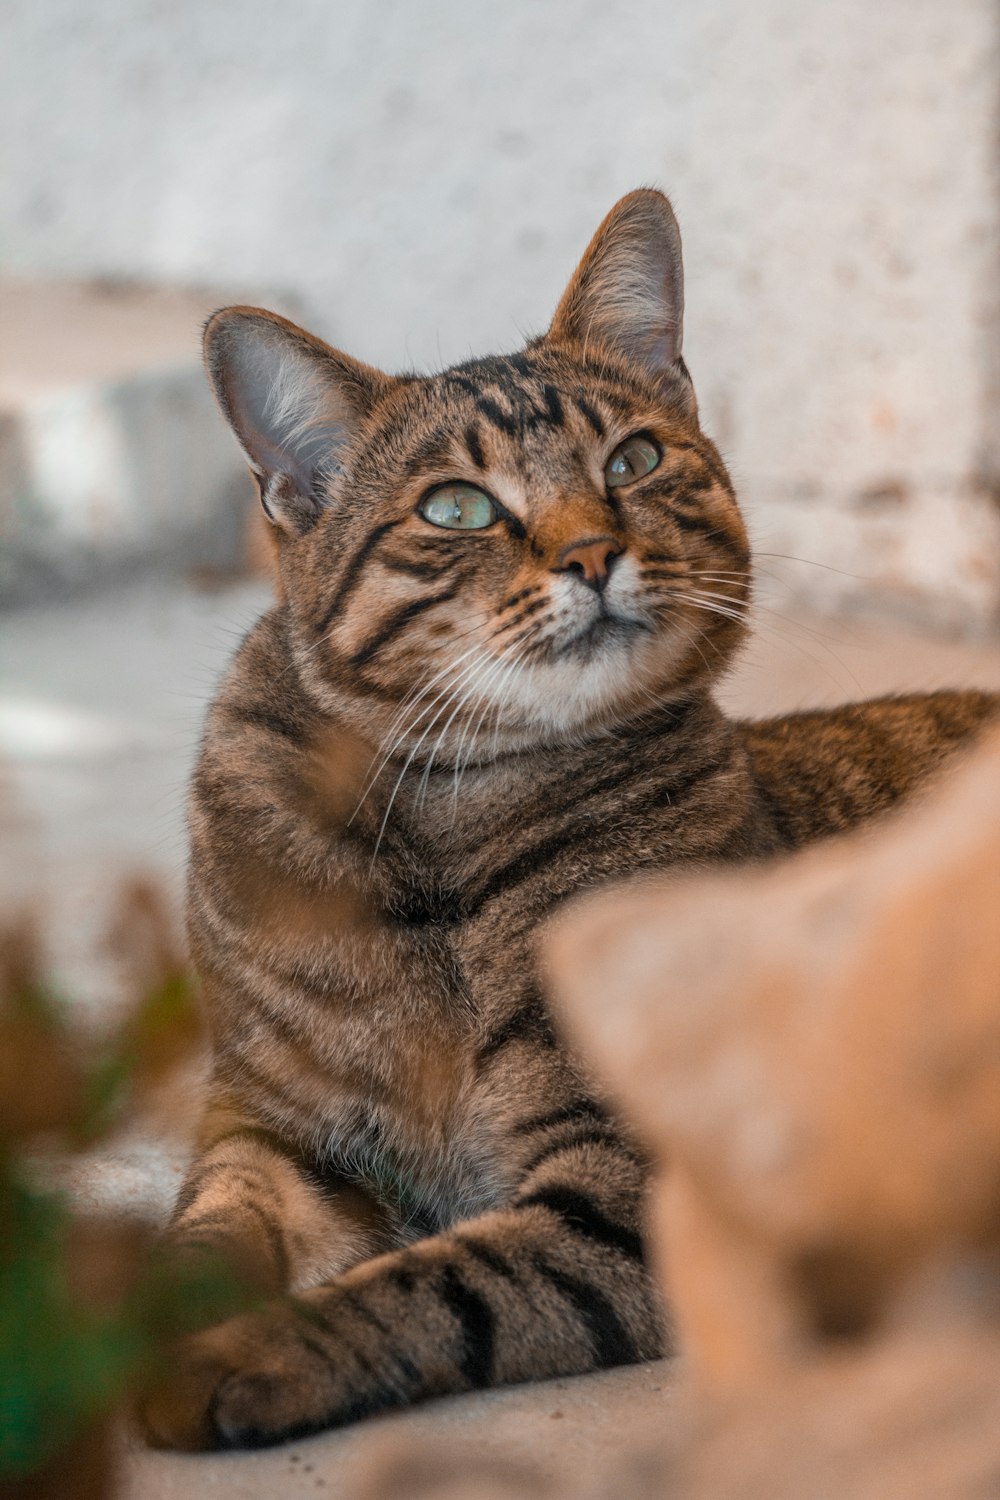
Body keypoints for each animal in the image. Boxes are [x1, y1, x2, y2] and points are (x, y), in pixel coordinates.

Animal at [140, 181, 1000, 1446]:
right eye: (456, 507)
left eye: (633, 458)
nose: (594, 552)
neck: (440, 831)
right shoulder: (269, 1124)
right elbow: (204, 1230)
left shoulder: (628, 1185)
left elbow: (429, 1285)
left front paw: (241, 1353)